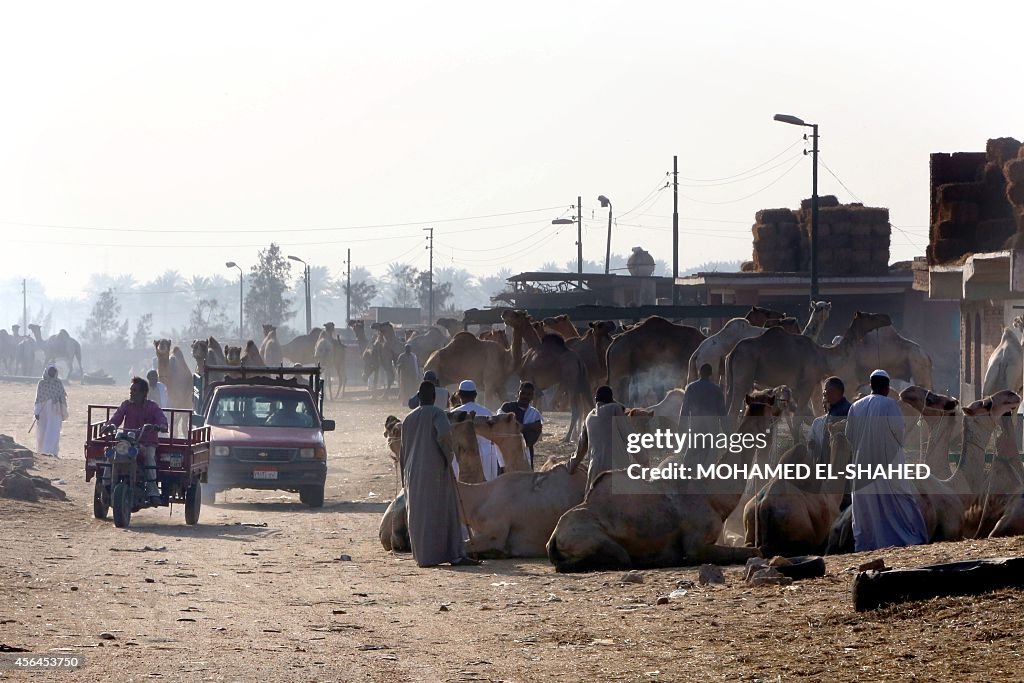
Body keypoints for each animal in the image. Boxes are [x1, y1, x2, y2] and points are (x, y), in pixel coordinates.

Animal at [544, 389, 774, 573]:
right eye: (772, 405)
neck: (712, 496)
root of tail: (554, 538)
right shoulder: (695, 544)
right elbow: (755, 550)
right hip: (593, 539)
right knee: (621, 557)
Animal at [724, 313, 892, 419]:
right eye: (870, 315)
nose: (887, 318)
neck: (823, 355)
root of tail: (733, 352)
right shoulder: (807, 383)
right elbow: (799, 416)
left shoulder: (809, 384)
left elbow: (814, 413)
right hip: (745, 370)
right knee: (733, 411)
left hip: (731, 378)